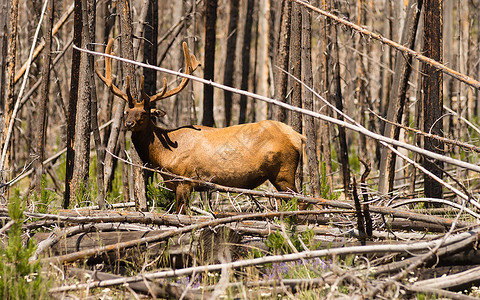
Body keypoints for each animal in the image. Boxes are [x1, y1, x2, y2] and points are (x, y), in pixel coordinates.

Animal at [96, 38, 306, 213]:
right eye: (127, 112)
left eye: (144, 114)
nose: (128, 123)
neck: (163, 156)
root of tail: (299, 137)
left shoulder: (185, 180)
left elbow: (181, 212)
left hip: (283, 171)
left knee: (302, 200)